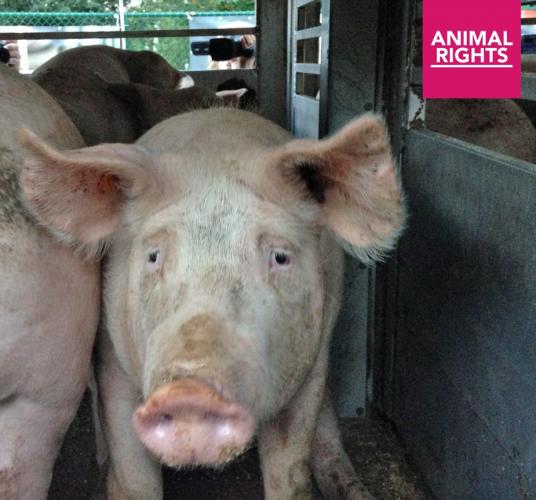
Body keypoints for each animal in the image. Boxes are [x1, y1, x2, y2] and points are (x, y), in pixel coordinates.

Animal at [19, 107, 405, 499]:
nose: (189, 391)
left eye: (280, 257)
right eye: (154, 255)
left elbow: (289, 472)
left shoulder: (312, 360)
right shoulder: (113, 359)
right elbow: (134, 478)